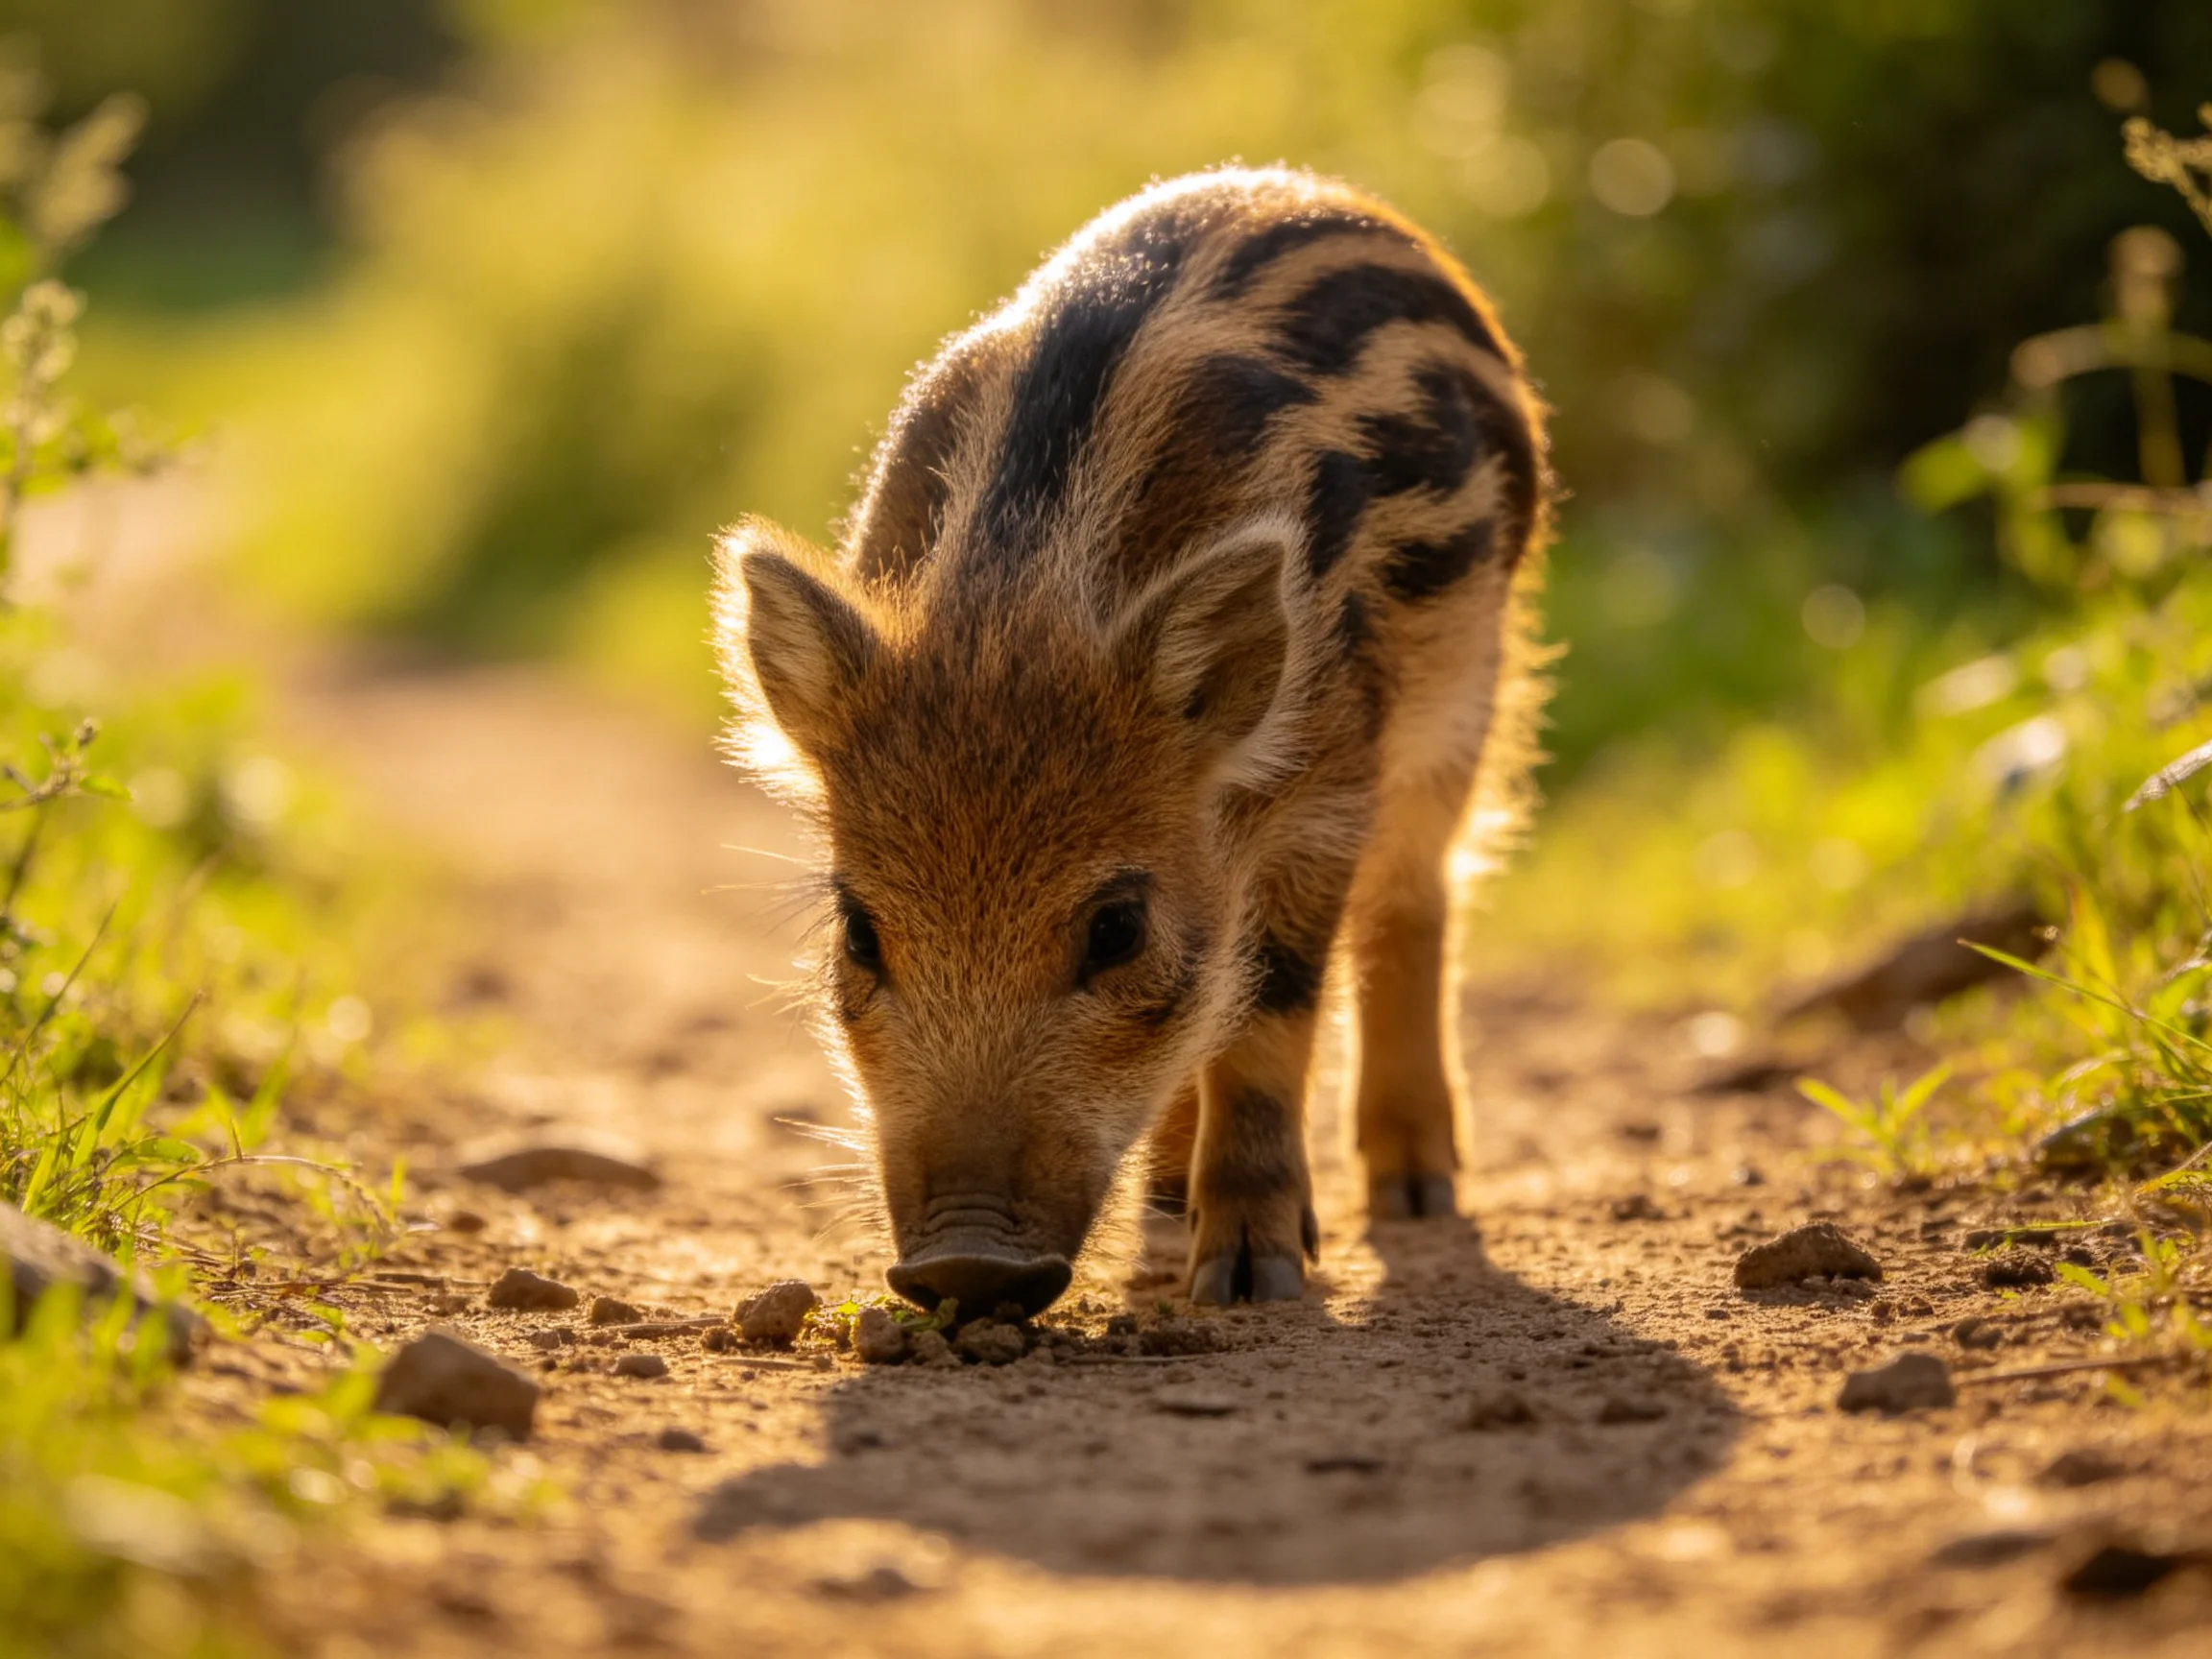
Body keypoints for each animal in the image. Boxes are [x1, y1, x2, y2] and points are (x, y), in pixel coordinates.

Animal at [714, 166, 1550, 1312]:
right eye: (859, 933)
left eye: (1116, 928)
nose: (965, 1265)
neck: (1018, 604)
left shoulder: (1328, 786)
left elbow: (1267, 1011)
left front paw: (1249, 1281)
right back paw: (1165, 1202)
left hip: (1468, 702)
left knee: (1417, 899)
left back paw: (1416, 1194)